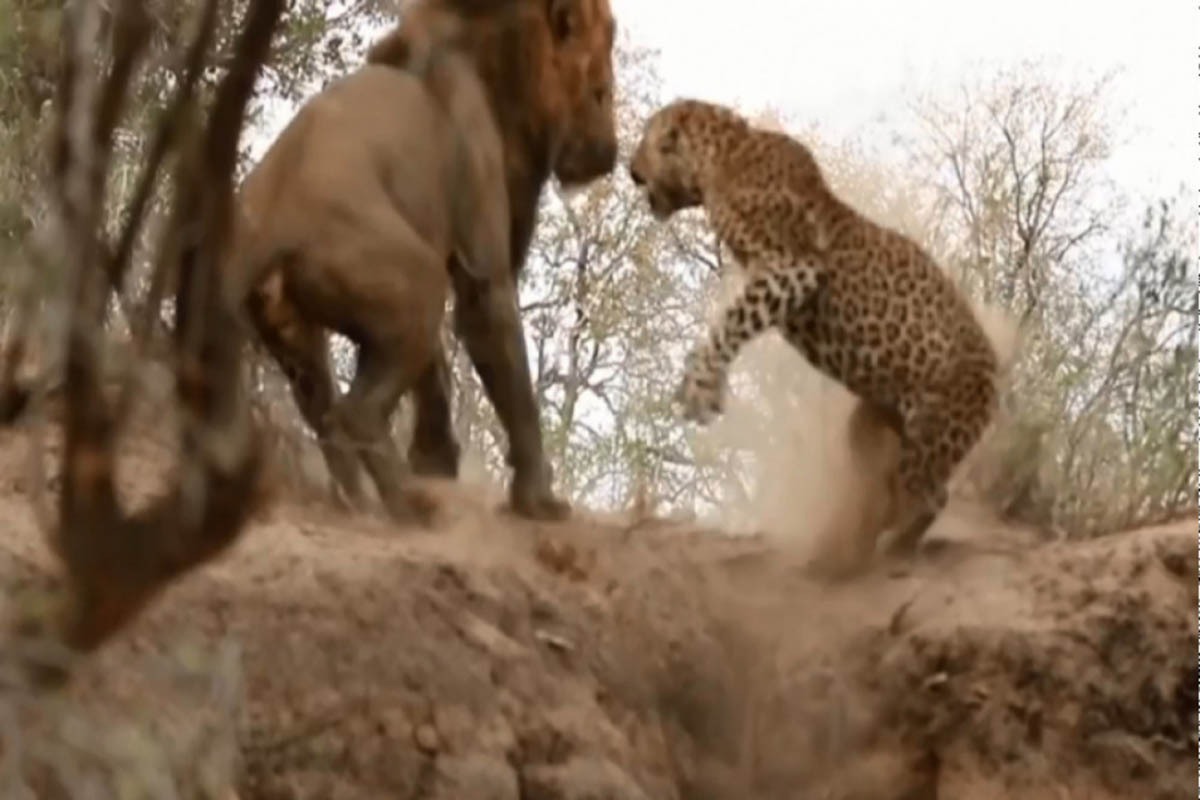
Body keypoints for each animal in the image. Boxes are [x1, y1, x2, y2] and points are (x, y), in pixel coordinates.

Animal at [231, 0, 619, 525]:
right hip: (415, 281)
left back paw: (355, 499)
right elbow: (505, 362)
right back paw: (411, 504)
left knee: (323, 412)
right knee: (355, 412)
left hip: (297, 332)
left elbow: (433, 373)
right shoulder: (480, 256)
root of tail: (266, 231)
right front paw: (537, 500)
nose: (609, 153)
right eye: (601, 90)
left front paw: (436, 462)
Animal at [628, 100, 1003, 575]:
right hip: (871, 423)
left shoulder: (793, 267)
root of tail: (996, 370)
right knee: (887, 482)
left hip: (934, 433)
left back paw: (879, 546)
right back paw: (852, 544)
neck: (719, 159)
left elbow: (732, 319)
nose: (629, 169)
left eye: (646, 138)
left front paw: (701, 387)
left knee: (928, 497)